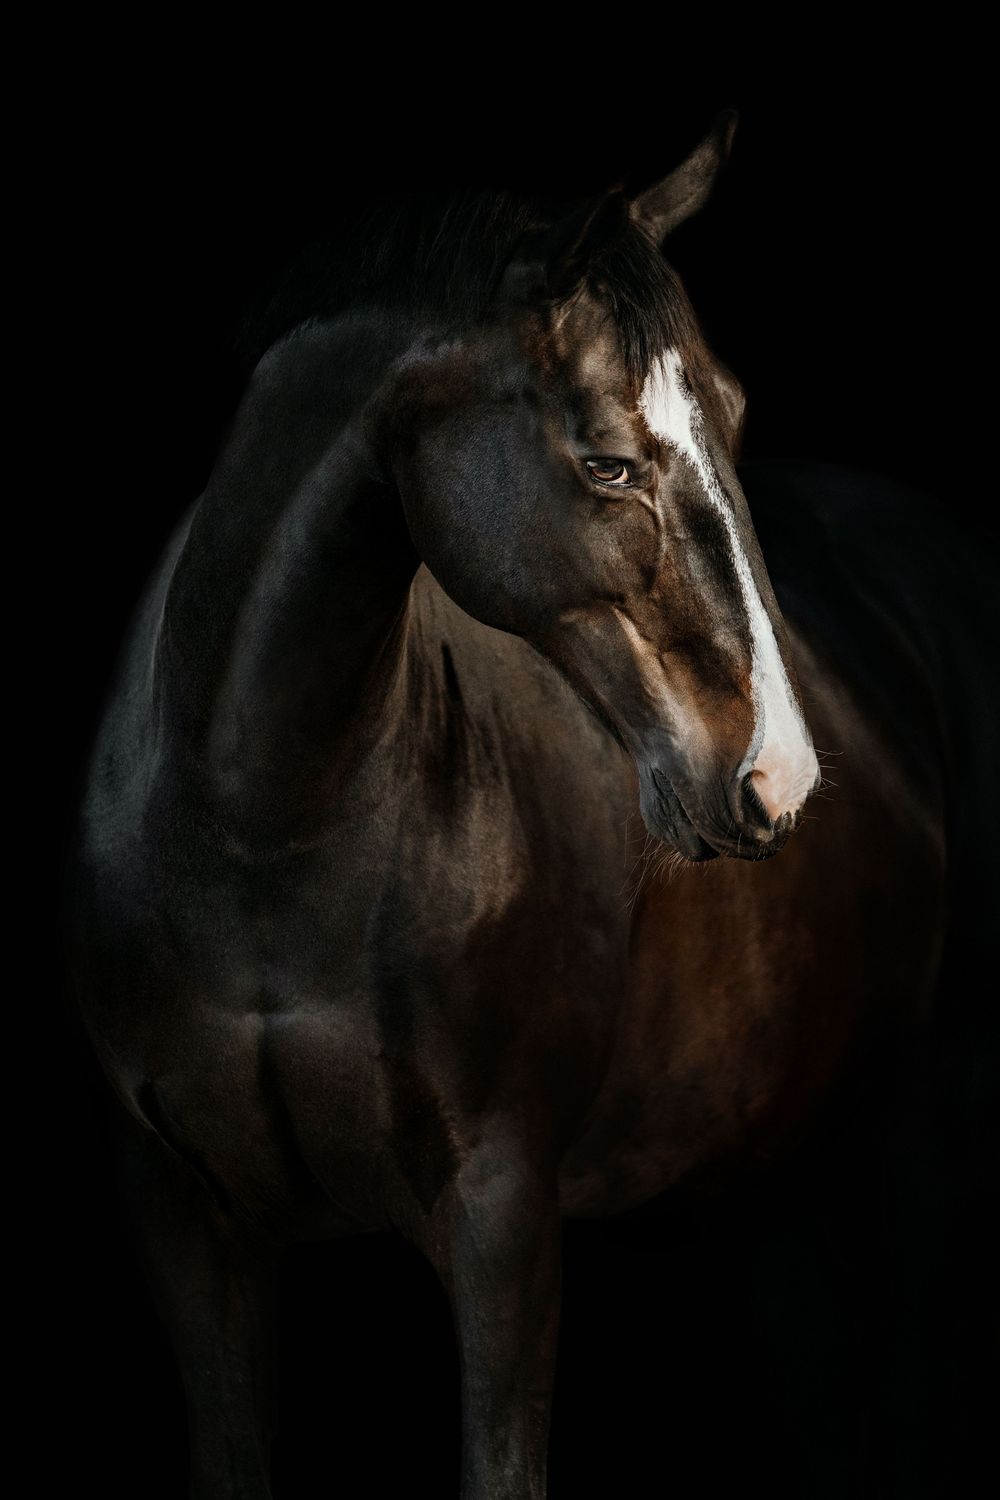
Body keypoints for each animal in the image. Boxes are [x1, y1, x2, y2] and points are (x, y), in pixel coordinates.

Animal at [64, 110, 995, 1498]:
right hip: (770, 1170)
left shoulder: (504, 1219)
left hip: (923, 1132)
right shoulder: (182, 1217)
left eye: (732, 410)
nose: (777, 777)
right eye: (606, 460)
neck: (258, 836)